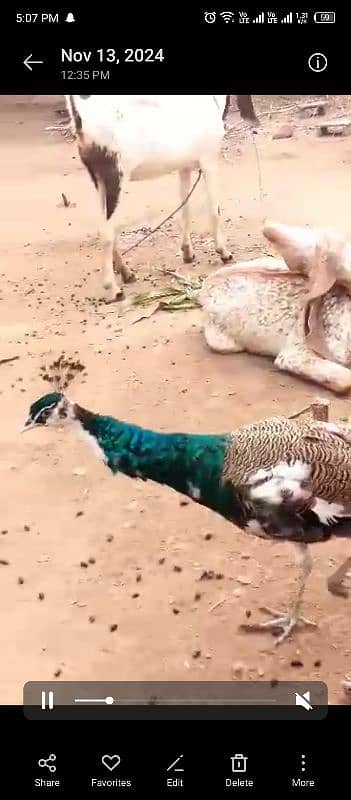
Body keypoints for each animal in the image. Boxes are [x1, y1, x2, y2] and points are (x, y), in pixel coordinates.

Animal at [66, 95, 234, 302]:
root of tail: (80, 111)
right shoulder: (209, 160)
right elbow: (214, 209)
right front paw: (224, 253)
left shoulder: (184, 166)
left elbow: (185, 209)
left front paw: (187, 252)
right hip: (116, 174)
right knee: (107, 232)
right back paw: (113, 288)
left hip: (99, 179)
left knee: (107, 226)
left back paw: (126, 273)